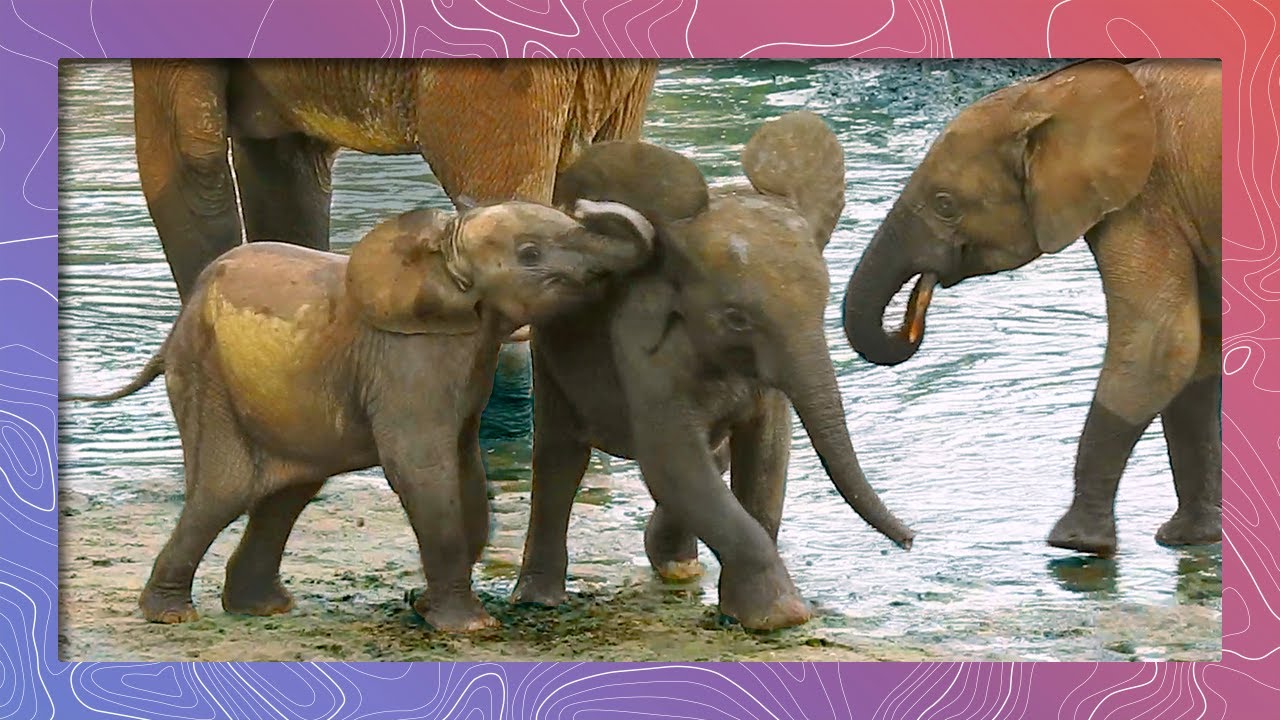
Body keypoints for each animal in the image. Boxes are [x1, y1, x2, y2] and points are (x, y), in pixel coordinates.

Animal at [60, 200, 655, 632]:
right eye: (531, 253)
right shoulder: (408, 356)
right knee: (224, 491)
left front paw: (424, 605)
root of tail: (175, 327)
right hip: (207, 375)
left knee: (288, 491)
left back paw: (262, 608)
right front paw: (469, 628)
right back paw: (171, 615)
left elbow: (463, 465)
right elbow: (421, 467)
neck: (443, 244)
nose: (587, 201)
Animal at [511, 111, 916, 631]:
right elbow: (674, 462)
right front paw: (781, 617)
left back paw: (678, 567)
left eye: (824, 299)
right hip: (552, 351)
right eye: (736, 318)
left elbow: (767, 457)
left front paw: (758, 612)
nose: (911, 540)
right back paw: (539, 600)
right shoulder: (643, 352)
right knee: (560, 458)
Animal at [840, 59, 1222, 557]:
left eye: (945, 204)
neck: (1052, 96)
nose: (912, 540)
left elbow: (1159, 346)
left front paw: (1073, 544)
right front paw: (1189, 540)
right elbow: (1197, 355)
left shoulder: (1143, 201)